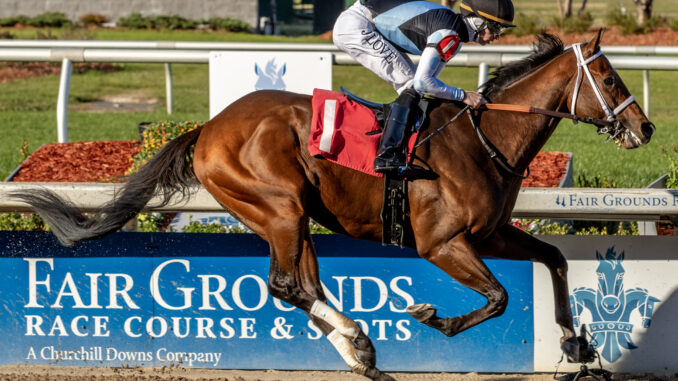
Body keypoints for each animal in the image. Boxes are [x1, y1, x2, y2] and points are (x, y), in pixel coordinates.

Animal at [13, 31, 656, 378]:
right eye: (610, 78)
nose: (646, 129)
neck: (484, 139)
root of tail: (210, 127)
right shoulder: (442, 243)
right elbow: (496, 298)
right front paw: (434, 318)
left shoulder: (492, 233)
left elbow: (555, 259)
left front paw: (576, 343)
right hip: (278, 206)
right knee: (285, 284)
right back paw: (361, 345)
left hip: (289, 217)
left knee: (303, 284)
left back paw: (359, 354)